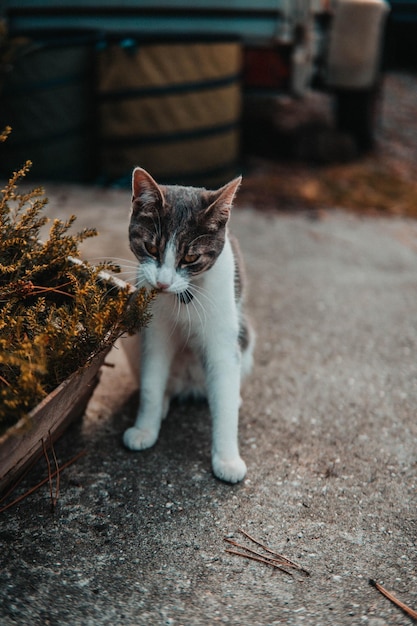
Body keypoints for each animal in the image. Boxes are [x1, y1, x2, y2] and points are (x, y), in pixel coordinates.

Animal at [122, 166, 255, 482]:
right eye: (150, 248)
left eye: (191, 257)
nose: (163, 283)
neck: (182, 297)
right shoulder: (154, 333)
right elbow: (151, 384)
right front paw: (145, 429)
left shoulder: (223, 343)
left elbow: (224, 403)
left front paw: (227, 460)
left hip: (245, 337)